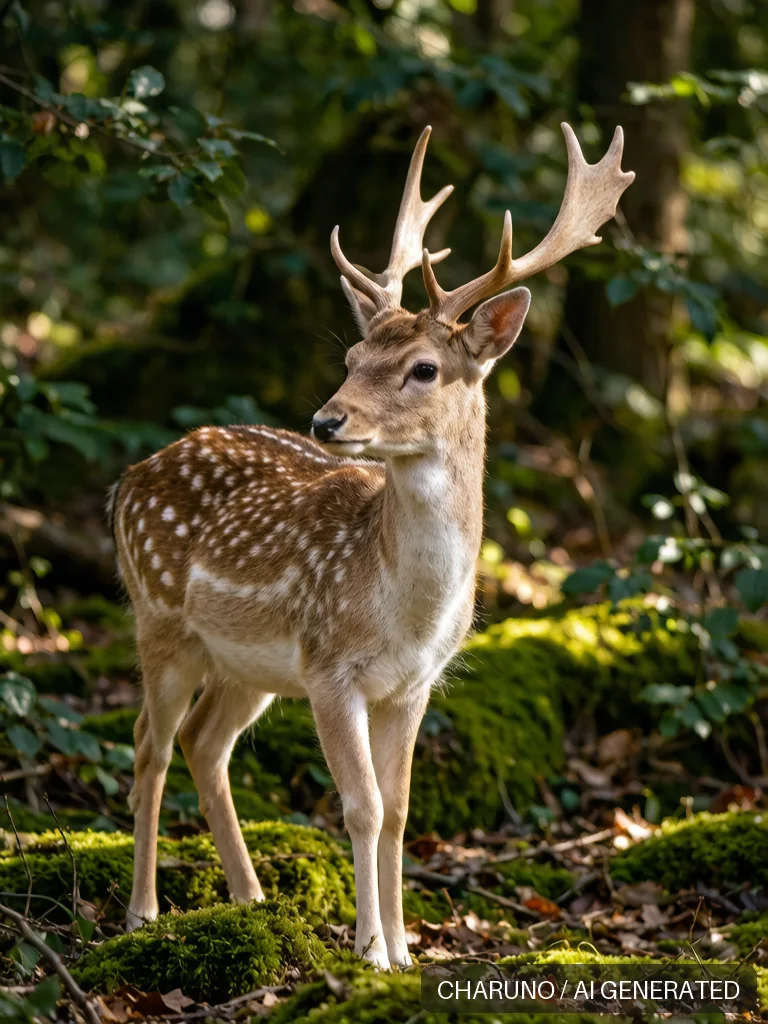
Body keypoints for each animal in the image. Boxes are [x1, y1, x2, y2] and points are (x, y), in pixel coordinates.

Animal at [109, 123, 633, 969]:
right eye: (352, 360)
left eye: (423, 368)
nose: (326, 420)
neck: (403, 613)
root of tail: (128, 478)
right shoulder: (331, 668)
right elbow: (359, 807)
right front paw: (369, 952)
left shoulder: (414, 685)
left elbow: (400, 810)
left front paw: (405, 952)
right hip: (157, 617)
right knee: (148, 748)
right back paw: (143, 911)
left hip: (248, 666)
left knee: (203, 743)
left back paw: (252, 898)